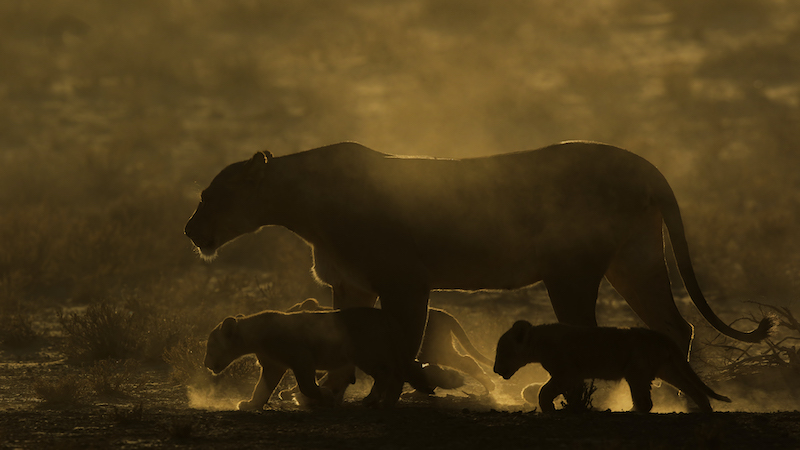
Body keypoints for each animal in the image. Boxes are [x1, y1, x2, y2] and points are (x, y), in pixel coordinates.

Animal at [185, 141, 773, 365]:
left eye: (211, 196)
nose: (190, 230)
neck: (302, 206)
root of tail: (646, 165)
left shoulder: (405, 282)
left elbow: (401, 345)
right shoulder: (348, 284)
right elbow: (344, 338)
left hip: (572, 271)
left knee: (590, 333)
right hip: (635, 261)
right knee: (677, 326)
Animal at [203, 307, 433, 410]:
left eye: (210, 346)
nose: (205, 364)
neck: (255, 337)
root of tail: (386, 316)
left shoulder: (301, 358)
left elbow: (306, 386)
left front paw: (325, 396)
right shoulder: (273, 366)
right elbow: (262, 387)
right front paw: (251, 404)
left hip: (364, 354)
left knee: (387, 374)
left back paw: (371, 399)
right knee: (398, 374)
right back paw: (387, 401)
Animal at [286, 298, 496, 392]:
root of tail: (445, 314)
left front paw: (290, 392)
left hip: (436, 350)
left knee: (466, 361)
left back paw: (490, 386)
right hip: (440, 350)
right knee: (465, 361)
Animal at [493, 321, 732, 413]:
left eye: (501, 351)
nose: (495, 370)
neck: (538, 341)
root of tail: (662, 337)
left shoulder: (568, 373)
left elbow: (544, 391)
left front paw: (549, 408)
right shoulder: (571, 376)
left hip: (637, 371)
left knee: (645, 403)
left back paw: (630, 411)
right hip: (667, 369)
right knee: (694, 390)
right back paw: (706, 411)